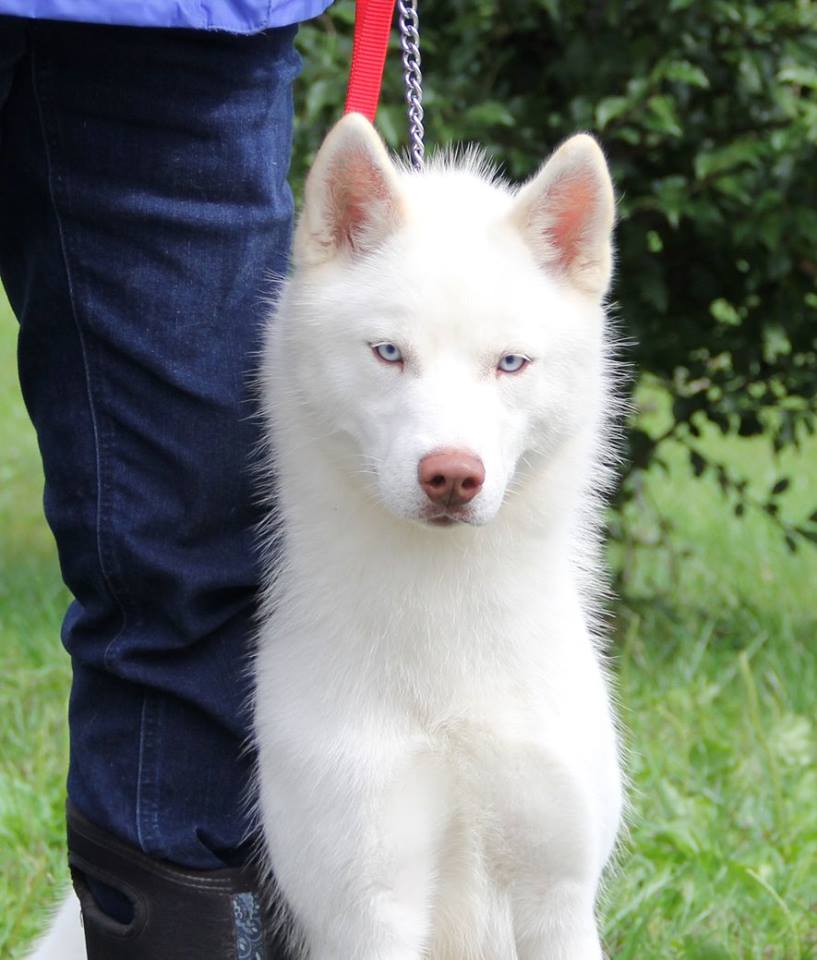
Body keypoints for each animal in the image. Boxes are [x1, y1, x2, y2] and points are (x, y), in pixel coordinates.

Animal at [28, 114, 620, 960]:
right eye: (388, 352)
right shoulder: (365, 903)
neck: (443, 640)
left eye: (511, 363)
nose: (451, 475)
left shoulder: (558, 897)